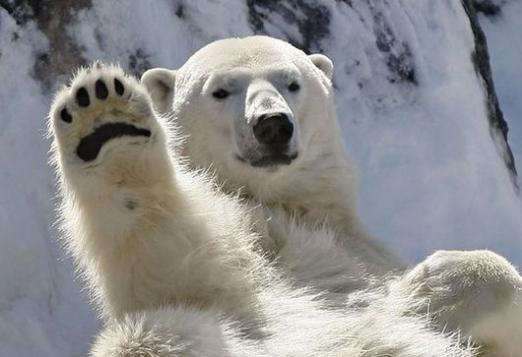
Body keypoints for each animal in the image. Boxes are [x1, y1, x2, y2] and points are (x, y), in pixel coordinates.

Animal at [48, 63, 472, 354]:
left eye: (293, 83)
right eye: (220, 91)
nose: (271, 124)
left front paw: (441, 282)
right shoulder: (239, 259)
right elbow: (167, 263)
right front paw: (105, 128)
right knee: (157, 330)